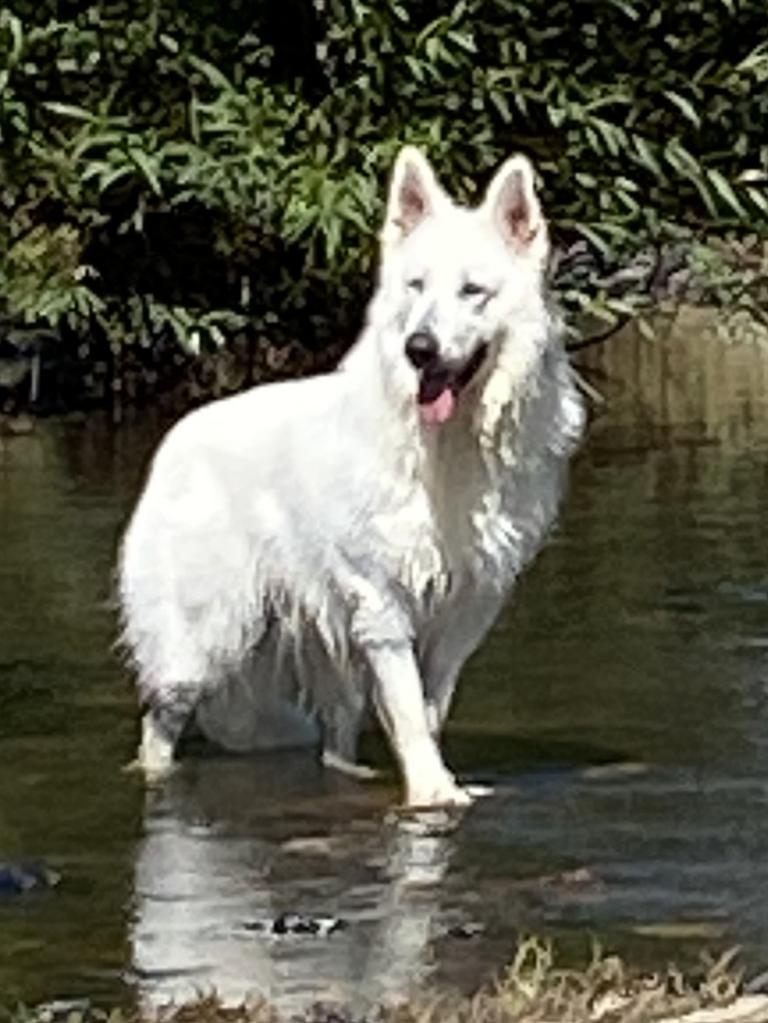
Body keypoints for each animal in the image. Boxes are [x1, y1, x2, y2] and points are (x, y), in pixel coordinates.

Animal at [118, 148, 580, 810]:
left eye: (472, 291)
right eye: (416, 287)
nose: (419, 348)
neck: (448, 446)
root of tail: (176, 438)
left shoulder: (464, 611)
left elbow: (427, 709)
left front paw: (432, 779)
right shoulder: (382, 603)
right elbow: (409, 709)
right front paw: (432, 794)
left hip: (327, 645)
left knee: (334, 734)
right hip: (199, 641)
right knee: (159, 724)